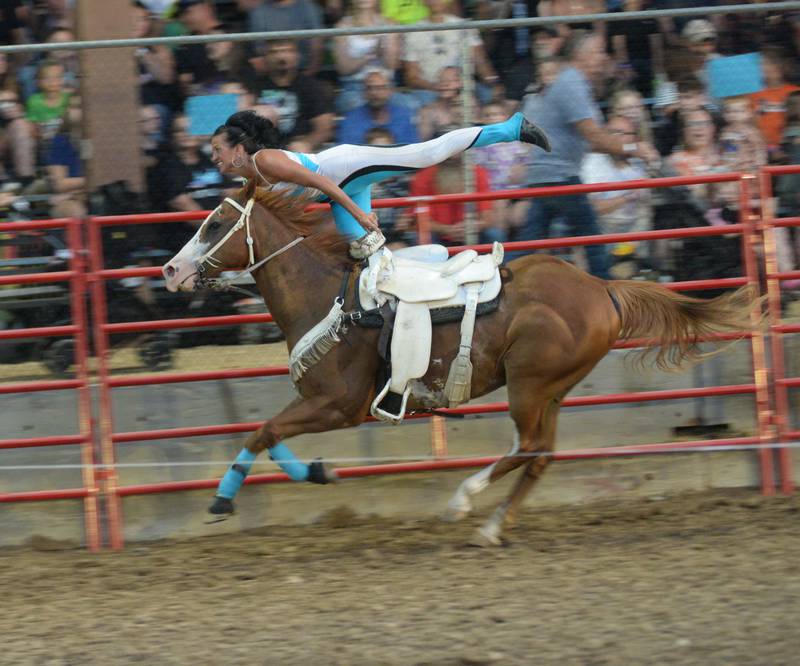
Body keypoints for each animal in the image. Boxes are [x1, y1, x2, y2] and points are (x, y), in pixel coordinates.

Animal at [161, 179, 756, 544]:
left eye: (214, 224)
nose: (170, 270)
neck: (330, 297)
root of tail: (601, 289)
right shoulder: (322, 406)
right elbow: (269, 434)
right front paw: (317, 471)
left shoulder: (336, 405)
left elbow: (260, 432)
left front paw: (222, 502)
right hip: (551, 390)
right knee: (539, 454)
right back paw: (494, 525)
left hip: (529, 386)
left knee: (528, 447)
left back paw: (464, 501)